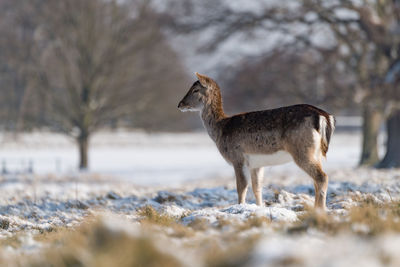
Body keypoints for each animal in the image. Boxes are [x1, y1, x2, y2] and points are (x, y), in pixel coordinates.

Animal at [178, 73, 334, 211]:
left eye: (195, 90)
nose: (180, 104)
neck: (220, 129)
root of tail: (323, 117)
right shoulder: (256, 164)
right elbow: (257, 187)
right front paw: (259, 208)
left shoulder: (237, 157)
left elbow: (241, 187)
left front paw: (240, 206)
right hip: (317, 152)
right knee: (316, 180)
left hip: (302, 150)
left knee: (322, 177)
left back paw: (320, 210)